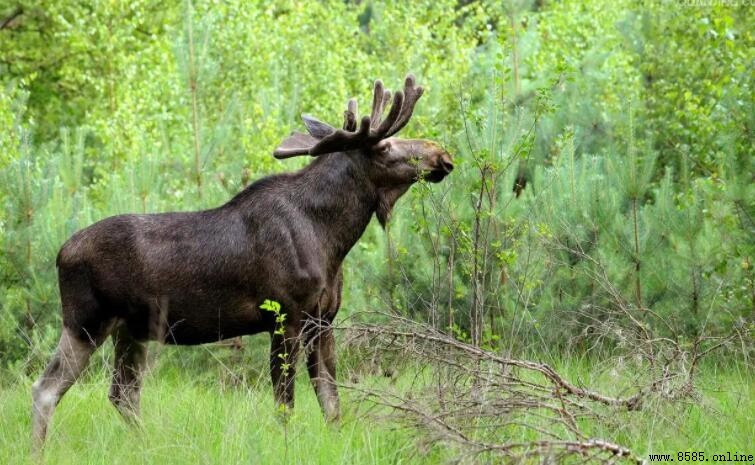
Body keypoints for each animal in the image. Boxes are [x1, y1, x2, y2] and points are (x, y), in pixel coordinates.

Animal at [31, 74, 454, 450]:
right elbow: (286, 404)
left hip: (130, 329)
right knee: (46, 389)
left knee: (122, 394)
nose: (442, 155)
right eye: (384, 147)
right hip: (86, 321)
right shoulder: (286, 316)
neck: (332, 238)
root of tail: (60, 254)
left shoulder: (324, 320)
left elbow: (332, 403)